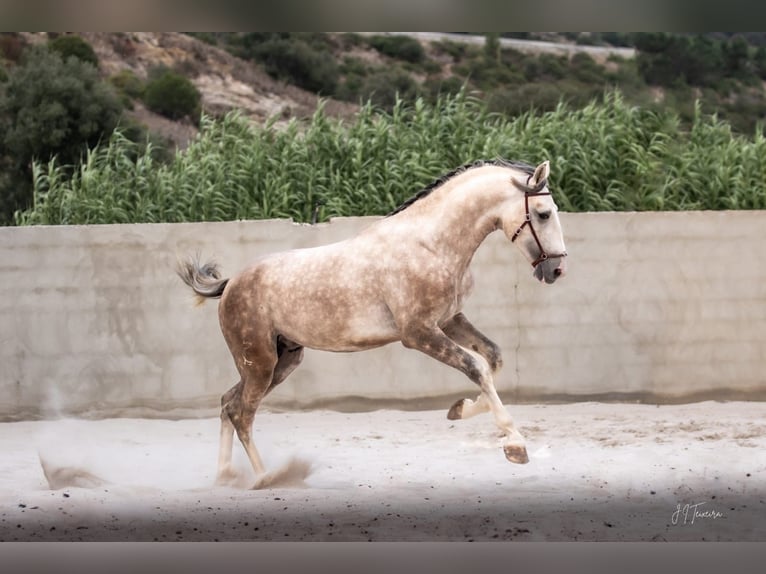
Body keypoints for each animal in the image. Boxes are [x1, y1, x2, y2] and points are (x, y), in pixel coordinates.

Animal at [177, 160, 568, 488]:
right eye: (544, 213)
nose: (556, 269)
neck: (431, 244)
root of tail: (230, 284)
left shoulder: (449, 320)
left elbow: (493, 359)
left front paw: (458, 410)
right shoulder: (418, 333)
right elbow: (477, 367)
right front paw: (515, 445)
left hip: (282, 360)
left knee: (229, 403)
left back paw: (226, 476)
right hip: (259, 363)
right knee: (243, 413)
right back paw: (265, 478)